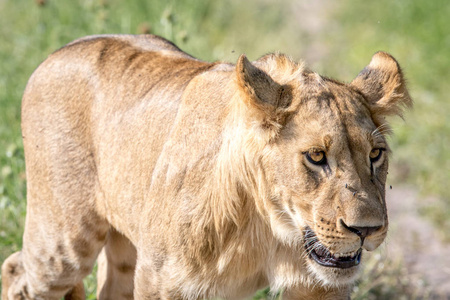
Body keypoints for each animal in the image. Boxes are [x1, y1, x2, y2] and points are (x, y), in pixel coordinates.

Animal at [0, 34, 412, 298]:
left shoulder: (318, 286)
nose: (367, 230)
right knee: (17, 269)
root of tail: (61, 50)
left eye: (375, 155)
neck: (269, 227)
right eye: (315, 156)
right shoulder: (159, 279)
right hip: (63, 238)